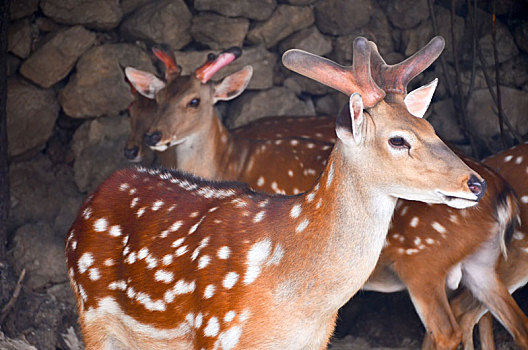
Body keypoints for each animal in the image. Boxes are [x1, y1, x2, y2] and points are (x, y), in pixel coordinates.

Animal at [64, 37, 484, 350]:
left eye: (431, 127)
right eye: (398, 139)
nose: (475, 183)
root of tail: (96, 193)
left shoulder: (317, 339)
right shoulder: (216, 329)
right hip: (91, 312)